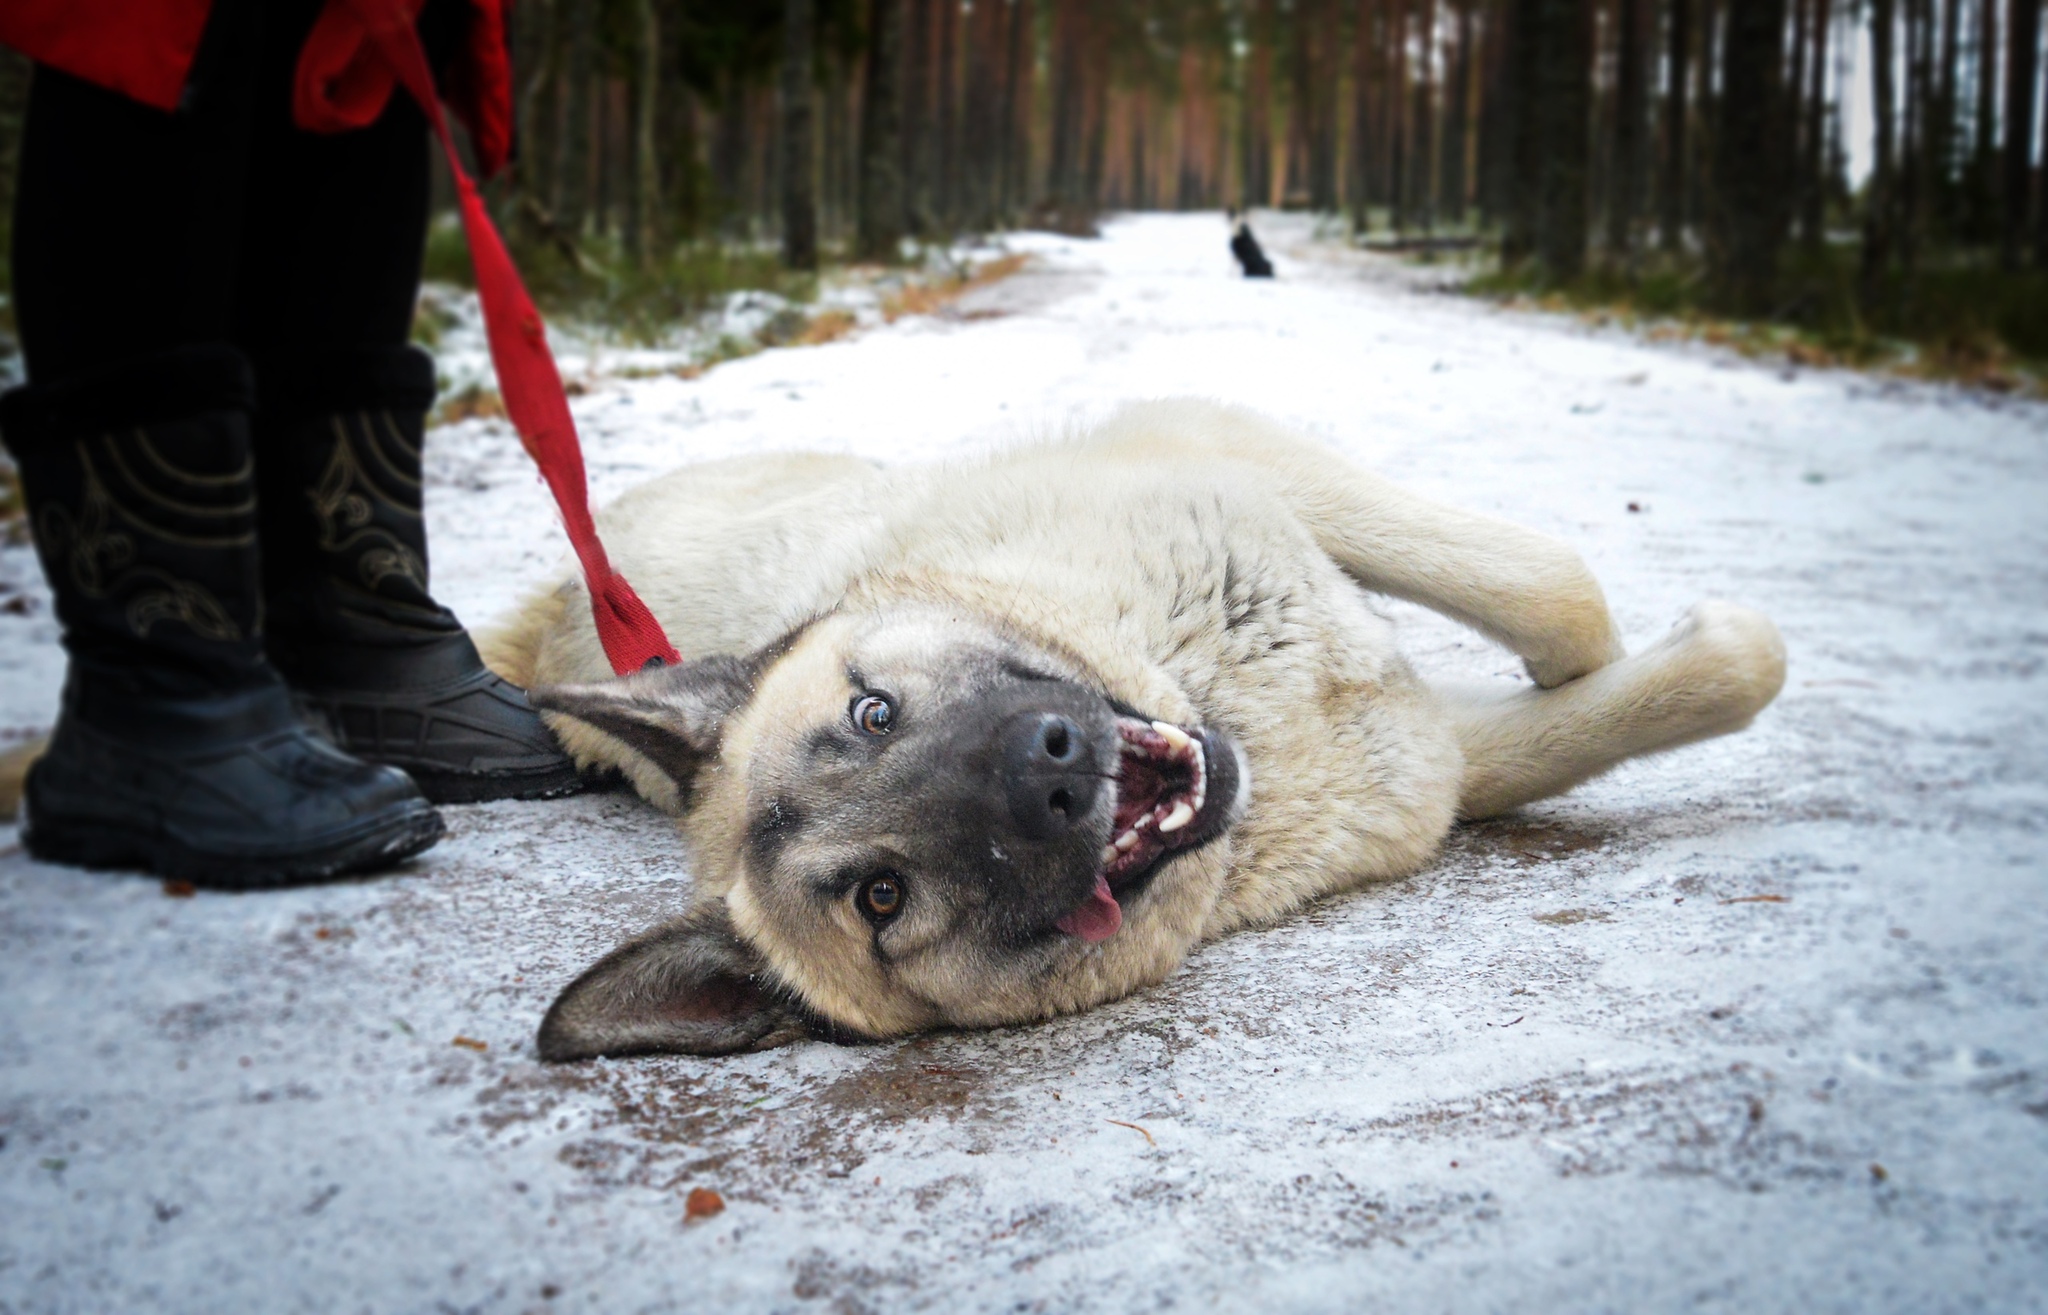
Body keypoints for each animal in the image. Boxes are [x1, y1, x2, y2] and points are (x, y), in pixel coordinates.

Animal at [483, 399, 1794, 1056]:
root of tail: (553, 618)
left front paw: (1598, 649)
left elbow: (1558, 591)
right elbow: (1663, 664)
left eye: (871, 707)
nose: (1048, 773)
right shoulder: (1432, 762)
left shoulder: (1240, 454)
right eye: (880, 900)